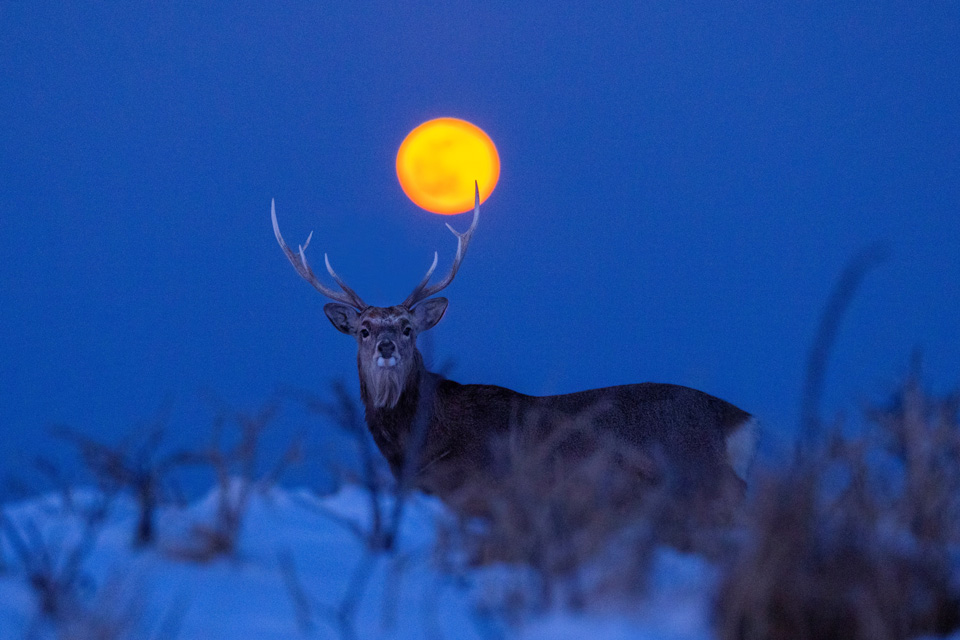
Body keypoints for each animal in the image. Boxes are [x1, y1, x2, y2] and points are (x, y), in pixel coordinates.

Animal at [272, 184, 756, 516]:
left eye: (408, 328)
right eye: (364, 330)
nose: (387, 345)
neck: (419, 445)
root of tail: (739, 420)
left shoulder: (476, 491)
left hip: (698, 472)